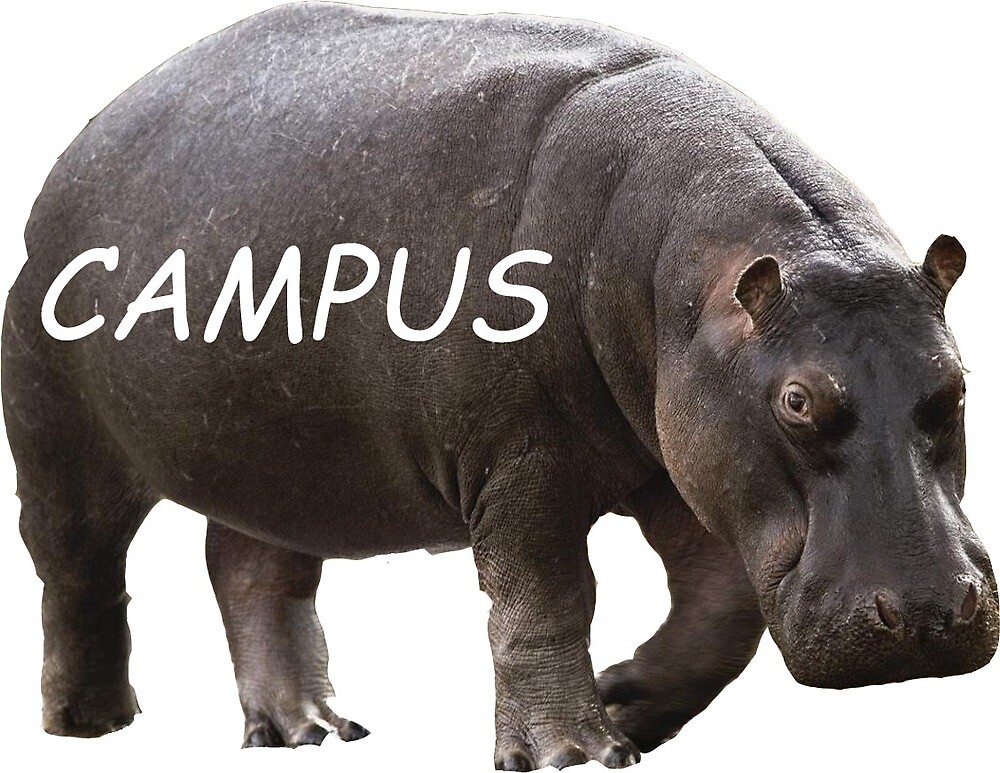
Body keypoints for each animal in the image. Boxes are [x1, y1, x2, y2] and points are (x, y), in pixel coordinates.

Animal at [3, 2, 997, 770]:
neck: (687, 277)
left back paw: (309, 730)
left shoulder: (683, 460)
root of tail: (80, 140)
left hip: (280, 456)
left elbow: (720, 609)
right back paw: (91, 722)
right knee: (78, 568)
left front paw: (625, 701)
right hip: (63, 440)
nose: (928, 613)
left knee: (252, 570)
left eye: (956, 383)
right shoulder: (521, 467)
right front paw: (576, 751)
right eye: (798, 400)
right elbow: (548, 601)